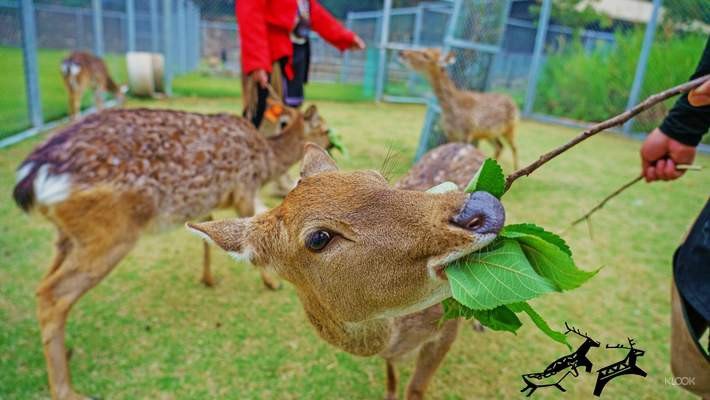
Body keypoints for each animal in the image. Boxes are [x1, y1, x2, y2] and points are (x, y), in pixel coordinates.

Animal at [11, 104, 334, 400]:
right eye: (325, 128)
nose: (332, 145)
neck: (266, 160)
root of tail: (31, 176)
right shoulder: (244, 187)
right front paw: (271, 283)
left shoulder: (209, 201)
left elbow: (206, 235)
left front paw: (207, 278)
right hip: (110, 231)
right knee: (53, 293)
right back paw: (66, 390)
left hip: (67, 235)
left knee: (44, 284)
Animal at [185, 145, 506, 400]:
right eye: (318, 238)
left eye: (379, 179)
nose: (483, 206)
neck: (396, 340)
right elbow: (391, 376)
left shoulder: (446, 331)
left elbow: (416, 388)